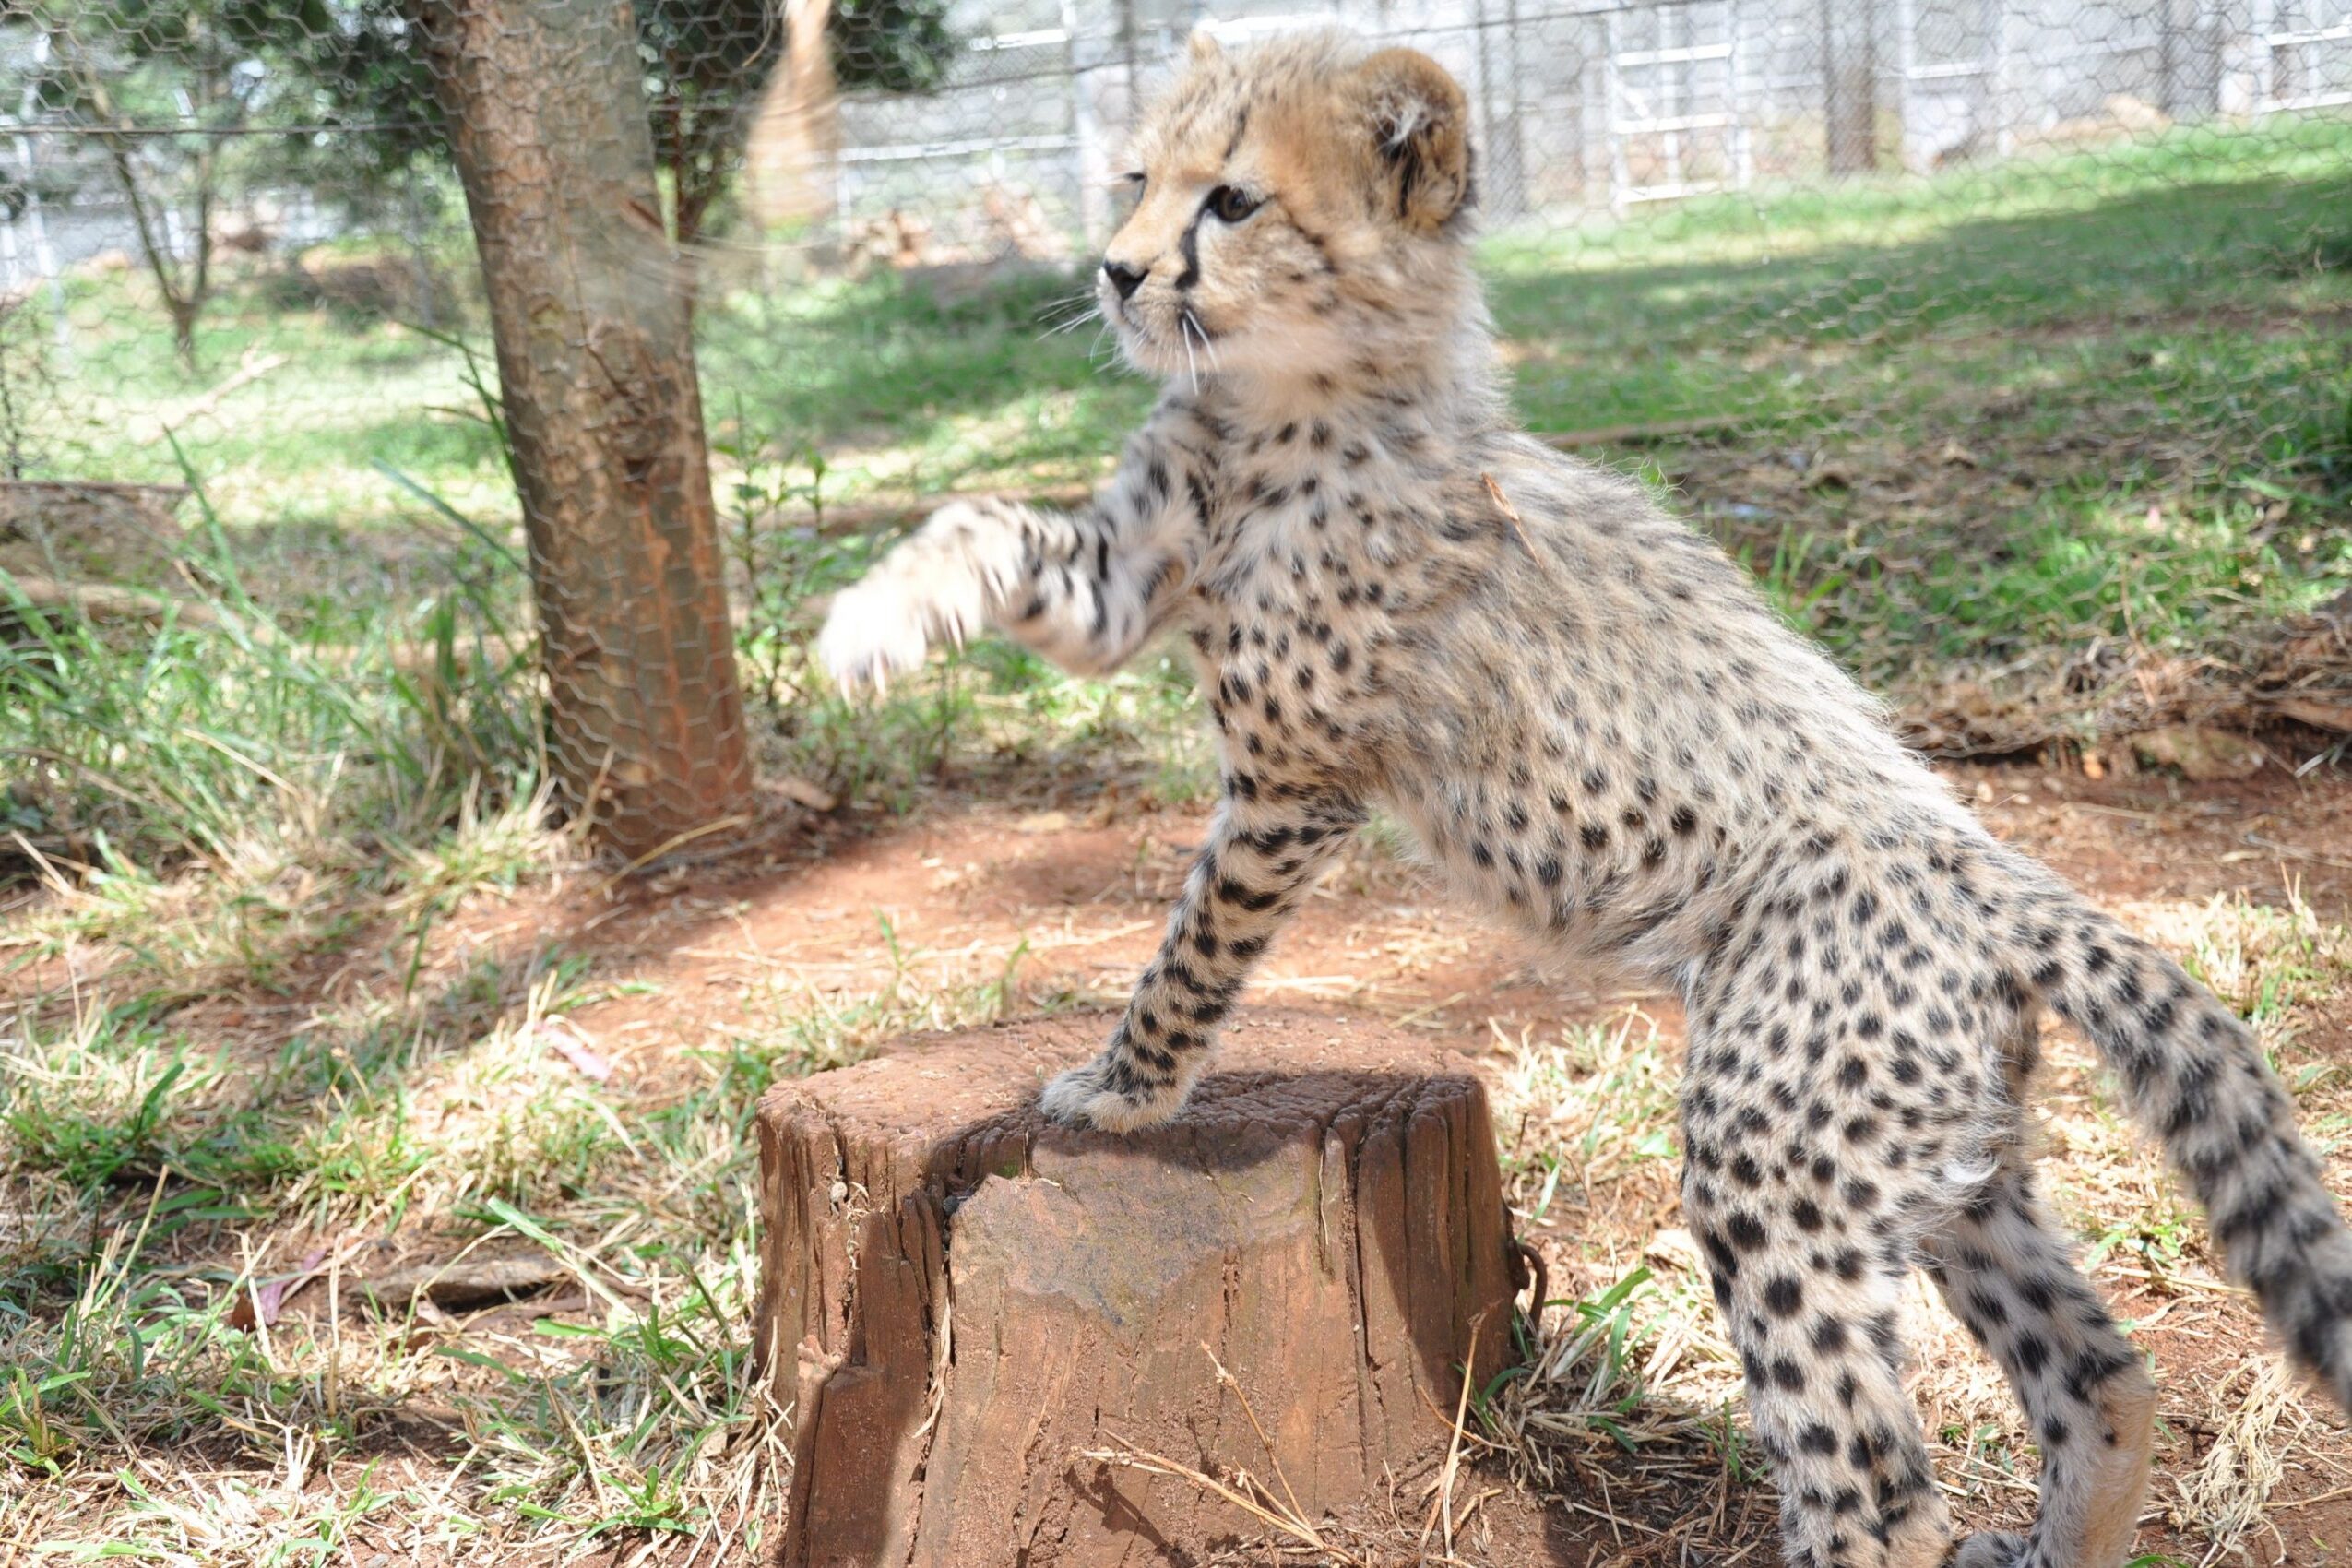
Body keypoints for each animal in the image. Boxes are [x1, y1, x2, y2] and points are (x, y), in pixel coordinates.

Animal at [815, 28, 2352, 1568]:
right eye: (1138, 181)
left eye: (1232, 202)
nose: (1117, 272)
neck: (1290, 396)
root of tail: (1993, 875)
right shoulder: (1129, 584)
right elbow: (979, 520)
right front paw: (864, 627)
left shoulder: (1292, 770)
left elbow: (1193, 945)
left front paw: (1123, 1090)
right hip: (1947, 1167)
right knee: (2100, 1375)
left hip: (1775, 1162)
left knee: (1876, 1490)